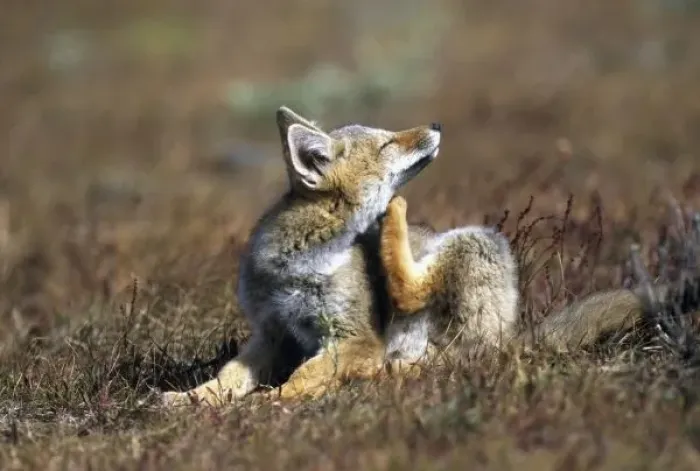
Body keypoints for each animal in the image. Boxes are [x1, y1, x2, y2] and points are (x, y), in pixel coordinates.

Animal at [161, 106, 698, 408]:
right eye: (386, 142)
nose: (437, 124)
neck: (301, 263)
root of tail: (513, 338)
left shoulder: (356, 338)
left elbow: (301, 376)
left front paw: (272, 404)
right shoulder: (271, 334)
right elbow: (228, 377)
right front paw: (192, 401)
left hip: (480, 243)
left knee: (420, 313)